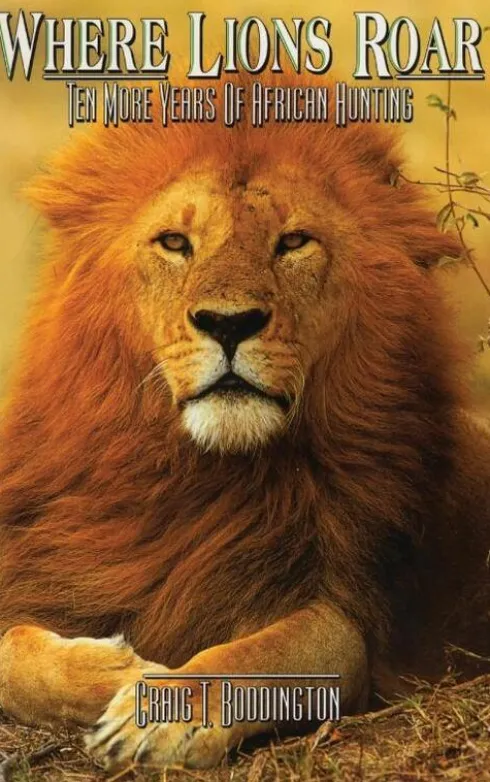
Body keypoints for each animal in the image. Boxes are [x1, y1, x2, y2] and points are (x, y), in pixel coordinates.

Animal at [0, 71, 489, 771]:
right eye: (175, 242)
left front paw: (162, 712)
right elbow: (13, 653)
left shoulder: (342, 616)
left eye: (293, 242)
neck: (201, 474)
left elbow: (262, 654)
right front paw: (122, 672)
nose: (229, 324)